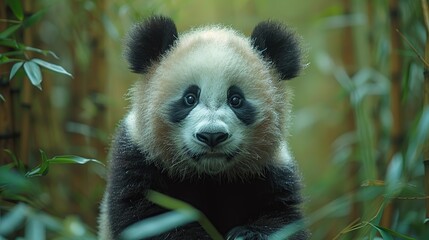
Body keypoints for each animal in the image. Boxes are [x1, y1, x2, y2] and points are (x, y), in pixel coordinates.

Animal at [98, 15, 308, 239]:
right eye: (190, 98)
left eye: (236, 99)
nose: (212, 136)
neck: (209, 176)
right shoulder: (138, 156)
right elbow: (149, 219)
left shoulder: (271, 169)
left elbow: (283, 217)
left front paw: (246, 234)